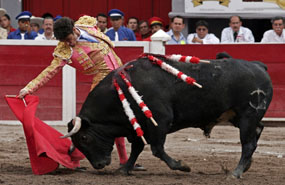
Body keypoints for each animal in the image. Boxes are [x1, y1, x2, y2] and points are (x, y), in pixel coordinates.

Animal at [63, 55, 272, 178]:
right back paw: (246, 166)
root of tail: (258, 65)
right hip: (241, 117)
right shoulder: (137, 126)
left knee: (248, 143)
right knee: (258, 131)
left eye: (84, 137)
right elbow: (137, 148)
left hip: (248, 115)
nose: (99, 165)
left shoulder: (159, 121)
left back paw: (236, 173)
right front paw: (124, 168)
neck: (121, 91)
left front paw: (182, 166)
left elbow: (157, 149)